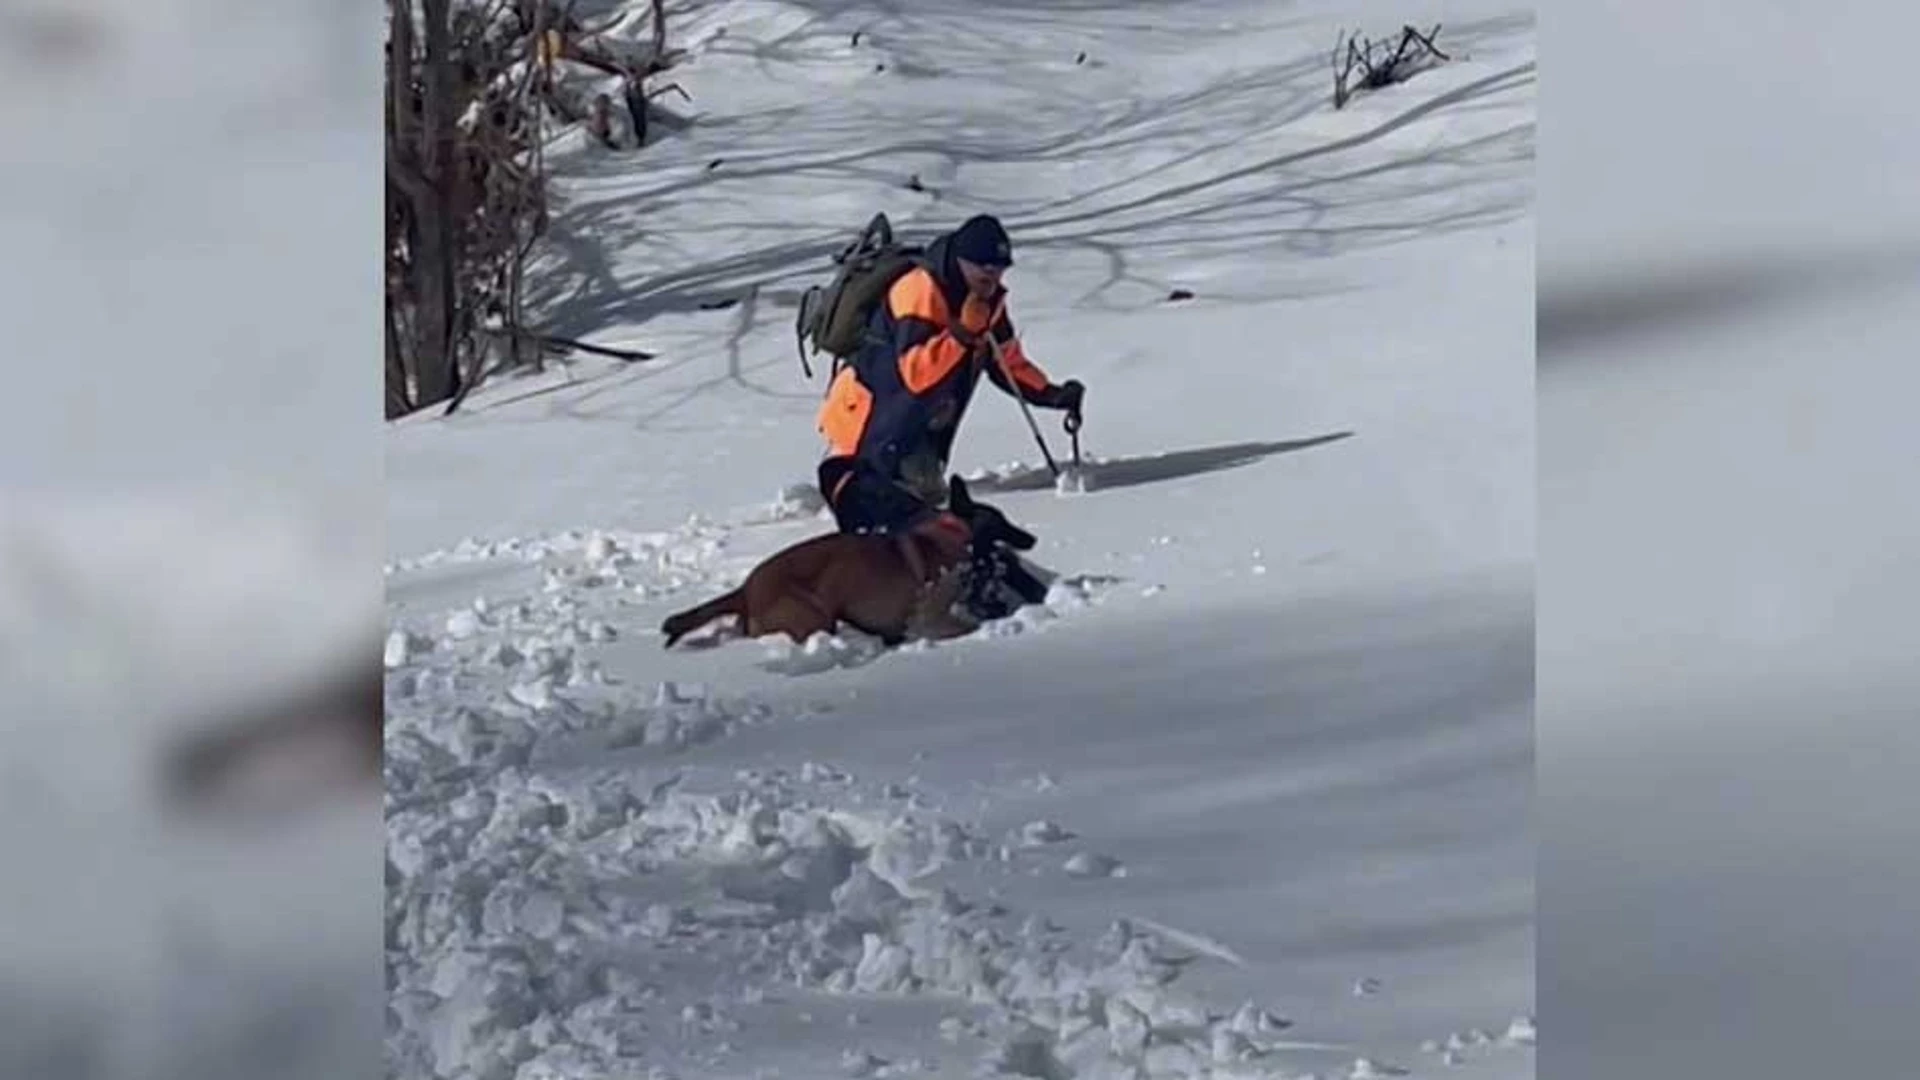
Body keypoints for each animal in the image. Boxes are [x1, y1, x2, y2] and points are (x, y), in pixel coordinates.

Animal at [660, 472, 1036, 641]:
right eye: (1002, 521)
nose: (1031, 538)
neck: (956, 535)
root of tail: (746, 590)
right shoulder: (930, 619)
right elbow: (967, 623)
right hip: (814, 614)